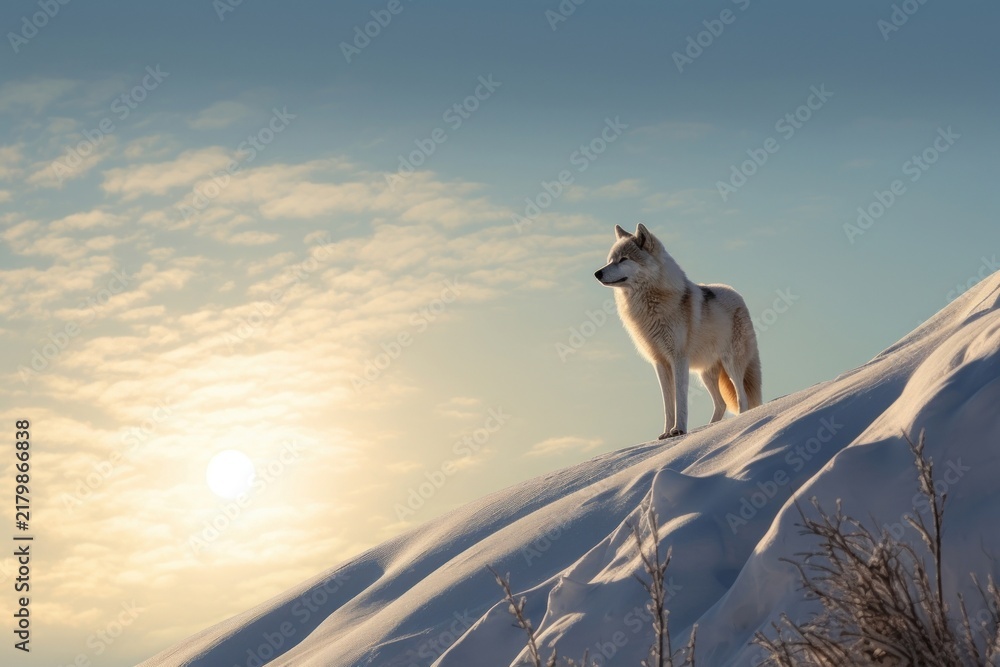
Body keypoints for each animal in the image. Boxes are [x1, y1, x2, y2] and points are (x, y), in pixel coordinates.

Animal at [595, 224, 762, 438]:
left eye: (623, 259)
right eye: (610, 260)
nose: (597, 273)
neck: (651, 304)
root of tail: (736, 294)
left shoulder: (678, 359)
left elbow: (680, 399)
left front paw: (679, 430)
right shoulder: (660, 363)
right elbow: (668, 404)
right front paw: (666, 433)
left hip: (731, 364)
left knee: (742, 397)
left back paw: (739, 419)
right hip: (706, 374)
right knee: (721, 403)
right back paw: (709, 428)